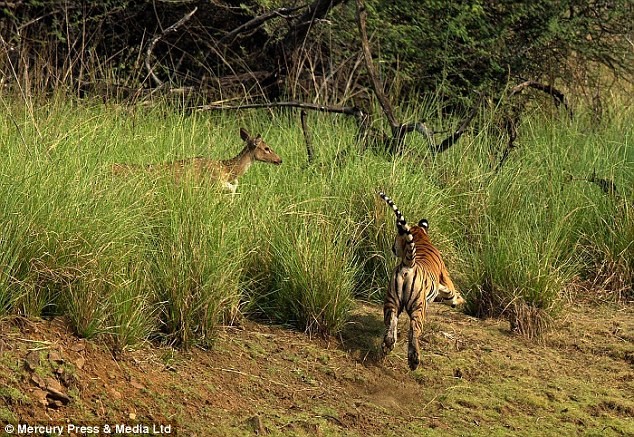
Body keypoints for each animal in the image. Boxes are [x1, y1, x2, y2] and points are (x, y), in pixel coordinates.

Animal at [378, 191, 462, 368]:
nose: (393, 248)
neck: (420, 236)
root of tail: (408, 263)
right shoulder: (447, 280)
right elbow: (453, 294)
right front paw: (459, 301)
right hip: (418, 307)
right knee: (414, 331)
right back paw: (414, 360)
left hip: (391, 301)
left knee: (392, 322)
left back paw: (388, 345)